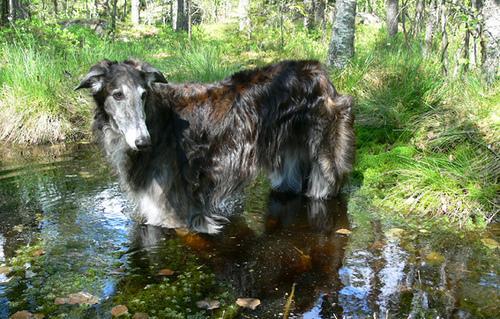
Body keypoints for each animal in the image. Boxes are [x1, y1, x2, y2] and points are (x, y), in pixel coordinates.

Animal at [75, 60, 356, 234]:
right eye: (117, 95)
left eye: (143, 94)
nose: (143, 142)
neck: (158, 120)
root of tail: (320, 72)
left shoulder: (173, 216)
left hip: (325, 158)